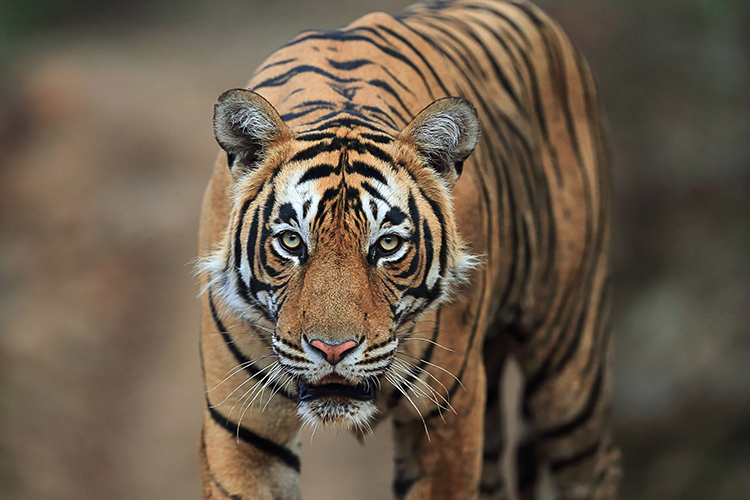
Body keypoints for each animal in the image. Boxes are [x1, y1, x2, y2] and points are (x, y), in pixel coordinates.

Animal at [195, 0, 624, 498]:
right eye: (291, 241)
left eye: (387, 244)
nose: (333, 350)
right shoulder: (244, 430)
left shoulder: (447, 416)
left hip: (570, 370)